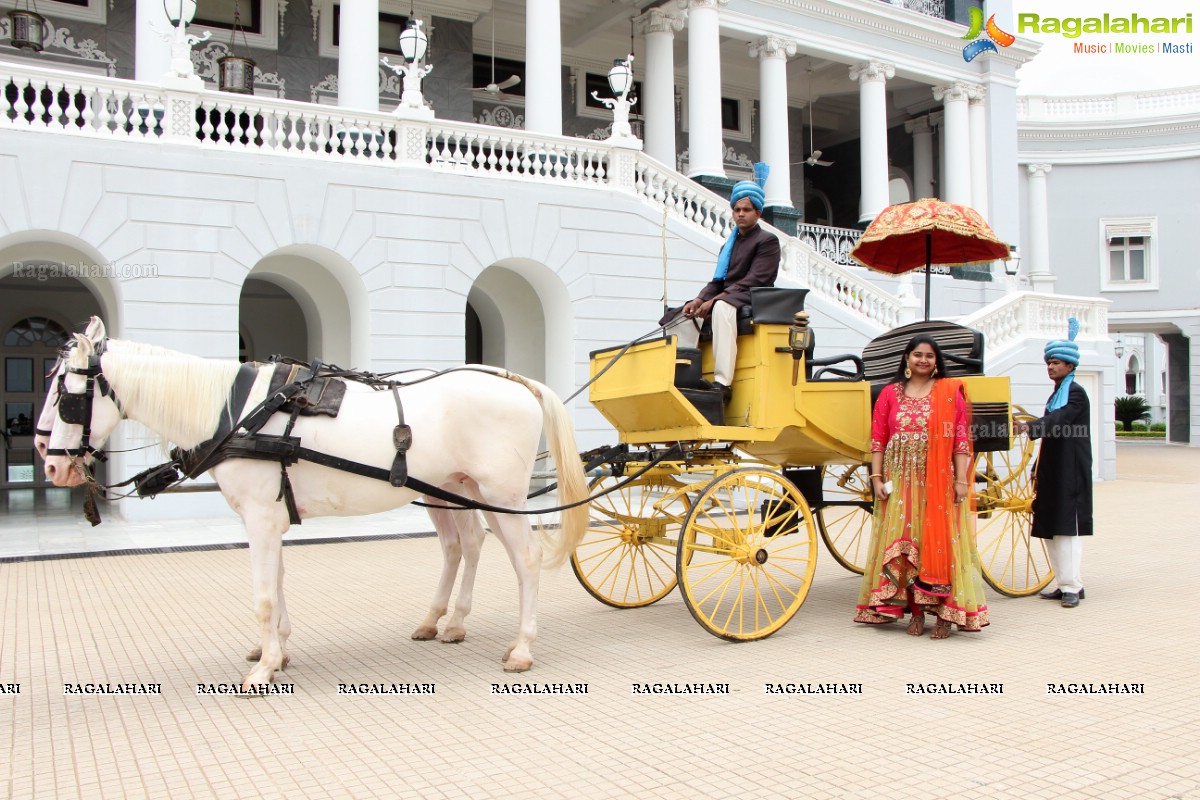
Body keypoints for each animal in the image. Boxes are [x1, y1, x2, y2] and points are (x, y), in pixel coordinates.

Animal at [43, 319, 590, 690]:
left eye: (66, 394)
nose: (50, 466)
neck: (241, 413)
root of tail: (514, 380)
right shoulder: (268, 518)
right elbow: (279, 584)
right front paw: (278, 650)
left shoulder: (260, 519)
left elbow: (264, 595)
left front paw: (265, 666)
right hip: (453, 488)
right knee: (466, 545)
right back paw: (447, 621)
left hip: (502, 495)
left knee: (525, 560)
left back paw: (522, 645)